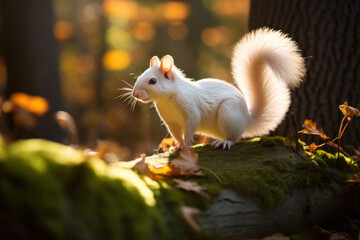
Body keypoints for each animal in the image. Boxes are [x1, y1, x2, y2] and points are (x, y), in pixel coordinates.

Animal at [131, 27, 306, 149]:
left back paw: (225, 143)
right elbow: (176, 133)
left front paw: (187, 142)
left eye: (153, 81)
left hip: (228, 112)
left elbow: (193, 122)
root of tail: (245, 119)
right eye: (139, 77)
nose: (135, 94)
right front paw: (177, 146)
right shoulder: (171, 120)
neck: (167, 100)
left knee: (235, 138)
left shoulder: (190, 107)